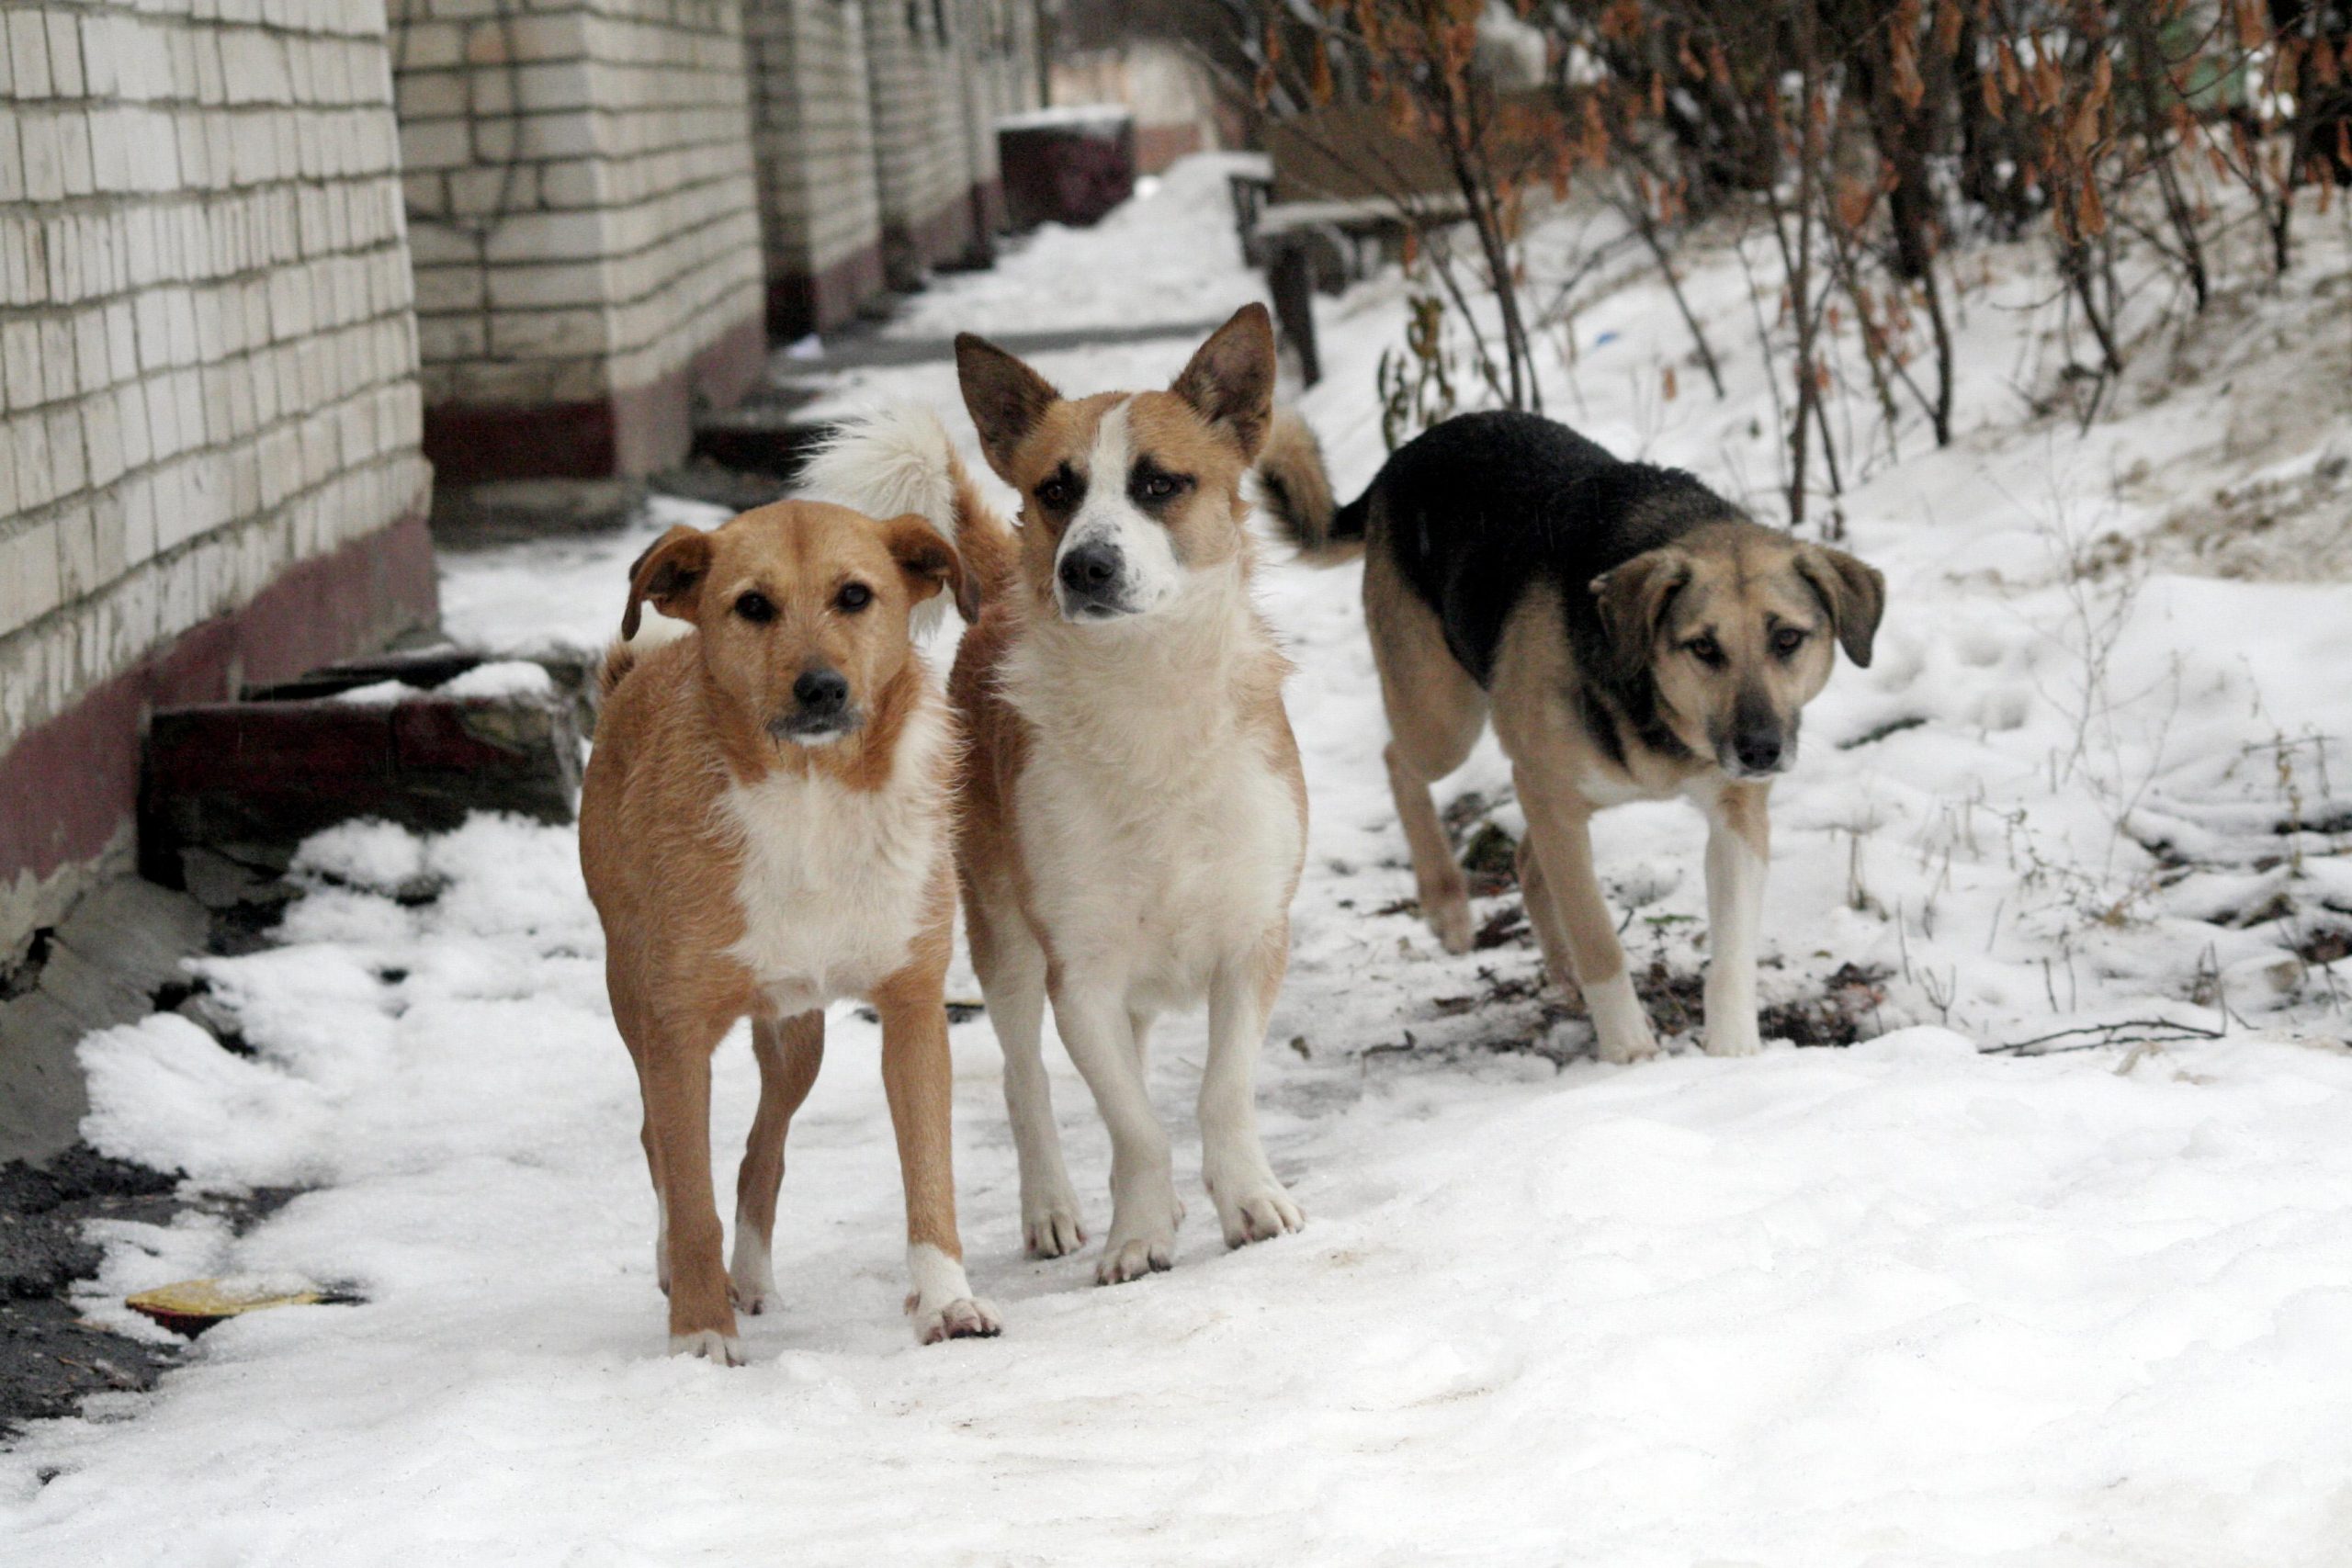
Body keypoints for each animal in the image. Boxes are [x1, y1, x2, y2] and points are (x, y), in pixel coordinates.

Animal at [585, 502, 1001, 1363]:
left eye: (856, 595)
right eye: (752, 605)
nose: (821, 687)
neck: (813, 798)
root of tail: (635, 676)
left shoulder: (914, 1005)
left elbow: (929, 1172)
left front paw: (948, 1301)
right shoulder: (676, 1030)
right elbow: (690, 1190)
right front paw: (700, 1334)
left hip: (795, 1034)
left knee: (763, 1152)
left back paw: (750, 1276)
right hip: (631, 1000)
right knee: (658, 1145)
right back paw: (686, 1272)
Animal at [813, 305, 1317, 1288]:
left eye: (1159, 483)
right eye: (1057, 488)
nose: (1084, 565)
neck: (1148, 702)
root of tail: (1002, 591)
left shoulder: (1253, 940)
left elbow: (1220, 1090)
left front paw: (1246, 1200)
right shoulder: (1077, 971)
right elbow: (1133, 1122)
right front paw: (1137, 1234)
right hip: (1001, 936)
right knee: (1024, 1076)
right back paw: (1050, 1206)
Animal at [1261, 409, 1882, 1066]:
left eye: (1787, 639)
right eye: (1703, 647)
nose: (1761, 750)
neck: (1656, 713)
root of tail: (1401, 458)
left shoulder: (1735, 812)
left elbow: (1733, 952)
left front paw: (1734, 1054)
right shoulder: (1552, 794)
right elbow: (1597, 937)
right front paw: (1630, 1052)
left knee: (1526, 861)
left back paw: (1560, 972)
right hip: (1443, 719)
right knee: (1399, 763)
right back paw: (1446, 903)